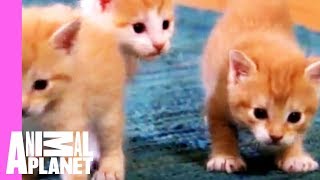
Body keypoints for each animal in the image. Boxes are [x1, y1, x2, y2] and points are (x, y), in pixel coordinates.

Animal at [202, 0, 320, 174]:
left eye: (295, 116)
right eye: (259, 113)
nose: (276, 136)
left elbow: (295, 135)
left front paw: (294, 157)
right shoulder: (218, 101)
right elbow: (222, 129)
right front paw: (225, 157)